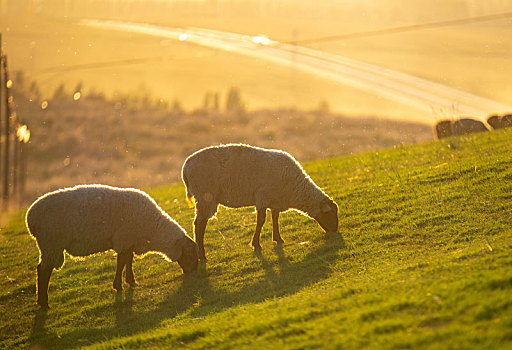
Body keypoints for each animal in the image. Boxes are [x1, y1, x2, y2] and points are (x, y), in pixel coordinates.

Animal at [26, 185, 199, 308]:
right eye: (190, 253)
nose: (193, 272)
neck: (153, 229)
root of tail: (30, 217)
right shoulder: (124, 238)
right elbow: (121, 262)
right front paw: (119, 286)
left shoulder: (129, 241)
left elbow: (128, 260)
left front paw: (131, 282)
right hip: (51, 243)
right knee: (43, 271)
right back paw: (44, 303)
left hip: (49, 245)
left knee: (42, 269)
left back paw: (42, 301)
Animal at [181, 143, 340, 260]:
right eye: (330, 214)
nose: (335, 231)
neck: (295, 189)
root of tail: (186, 166)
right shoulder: (263, 197)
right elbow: (261, 221)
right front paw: (256, 244)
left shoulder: (275, 199)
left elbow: (275, 218)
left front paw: (278, 239)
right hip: (205, 196)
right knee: (199, 225)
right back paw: (202, 256)